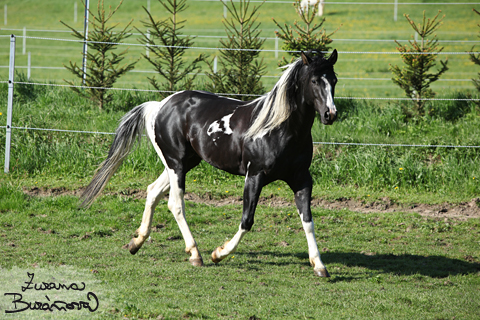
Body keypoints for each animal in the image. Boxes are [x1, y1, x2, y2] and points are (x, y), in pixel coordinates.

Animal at [80, 48, 340, 276]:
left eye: (334, 80)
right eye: (314, 81)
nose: (330, 114)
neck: (278, 128)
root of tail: (159, 106)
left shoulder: (301, 179)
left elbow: (308, 221)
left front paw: (319, 266)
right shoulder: (254, 176)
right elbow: (247, 220)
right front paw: (219, 253)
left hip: (183, 163)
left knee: (153, 190)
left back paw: (136, 242)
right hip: (176, 164)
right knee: (175, 204)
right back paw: (195, 254)